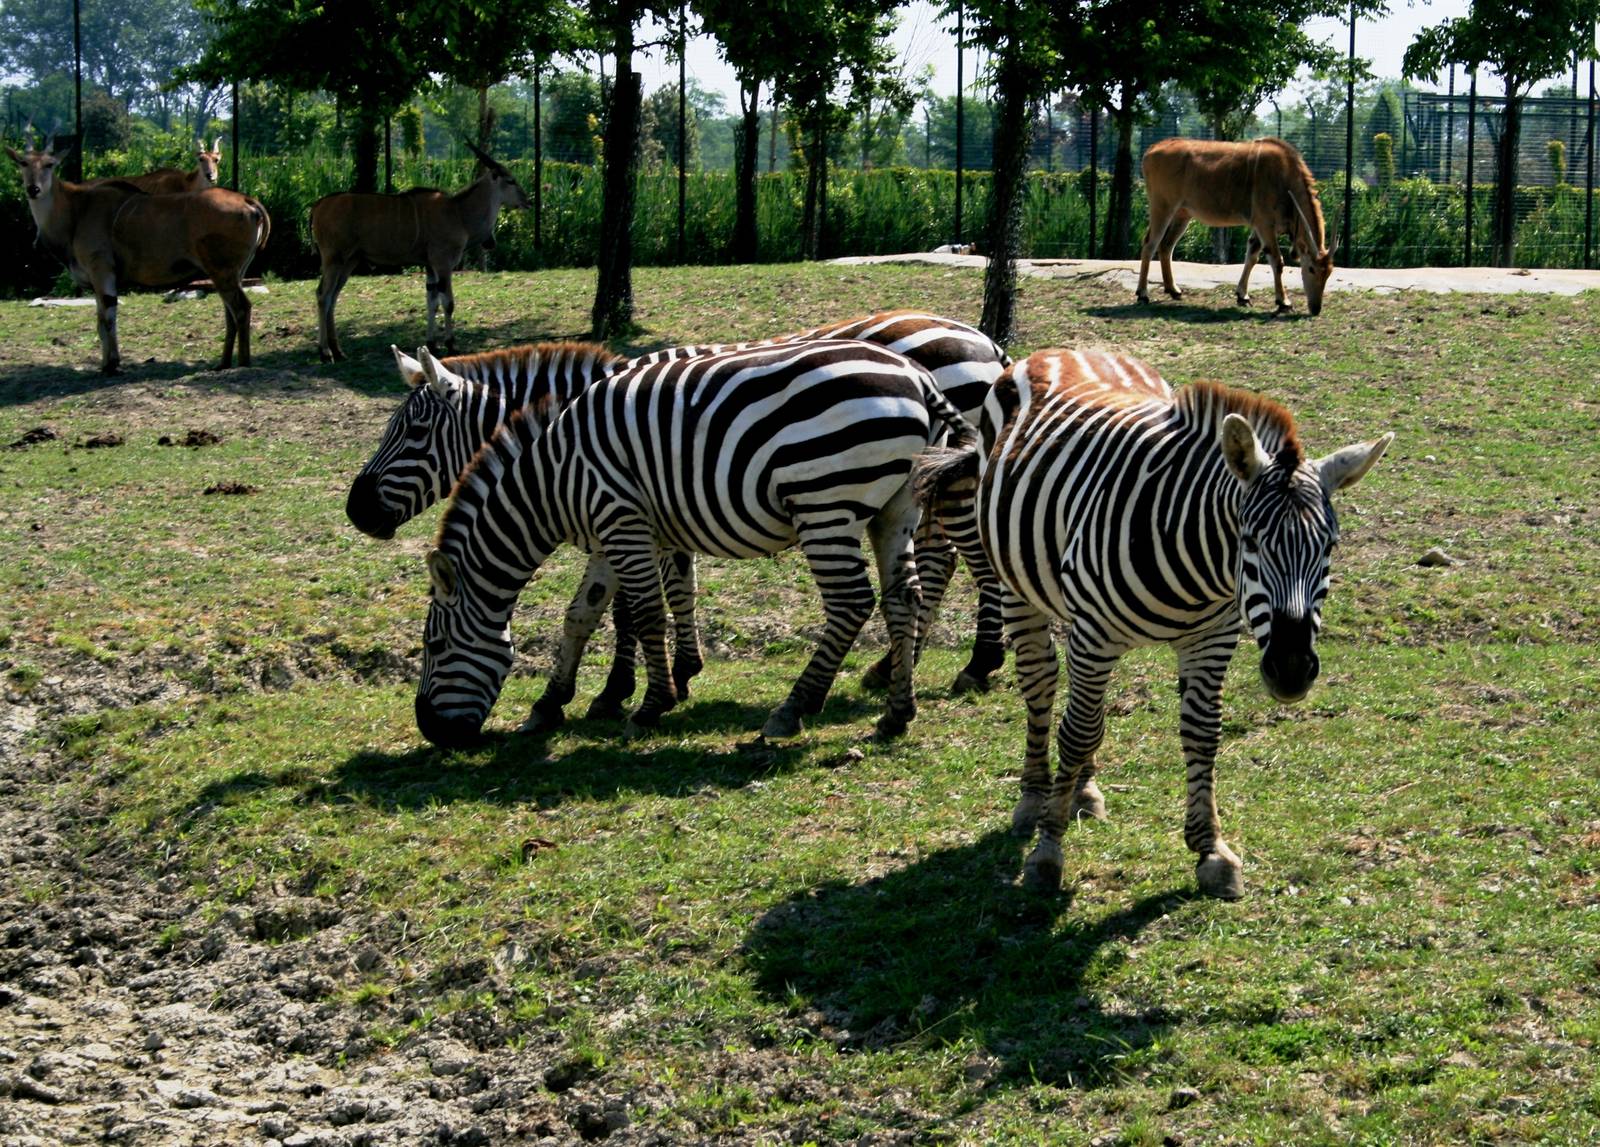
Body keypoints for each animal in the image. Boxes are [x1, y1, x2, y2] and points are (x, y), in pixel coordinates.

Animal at [345, 311, 1009, 724]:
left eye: (414, 432)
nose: (356, 510)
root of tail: (984, 342)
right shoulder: (663, 513)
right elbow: (652, 596)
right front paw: (675, 674)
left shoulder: (630, 511)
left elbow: (632, 609)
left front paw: (620, 693)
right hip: (914, 491)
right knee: (931, 571)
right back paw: (894, 672)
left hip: (922, 485)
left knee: (974, 564)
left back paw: (976, 664)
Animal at [915, 348, 1391, 898]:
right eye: (1250, 541)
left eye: (1329, 547)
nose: (1292, 670)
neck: (1202, 568)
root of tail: (1066, 349)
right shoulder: (1096, 634)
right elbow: (1076, 732)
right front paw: (1047, 852)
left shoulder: (1212, 638)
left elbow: (1202, 731)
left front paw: (1211, 851)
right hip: (1019, 587)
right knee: (1042, 686)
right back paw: (1035, 798)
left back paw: (1083, 791)